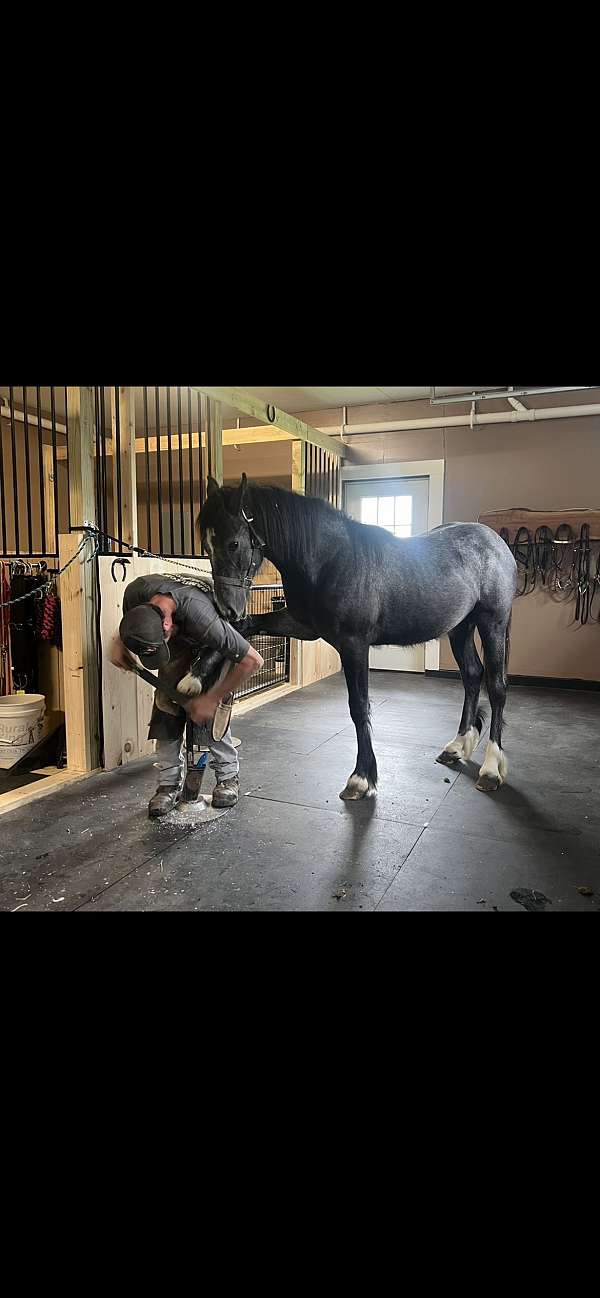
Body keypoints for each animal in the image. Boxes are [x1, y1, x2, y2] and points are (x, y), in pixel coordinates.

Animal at [198, 477, 516, 799]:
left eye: (233, 543)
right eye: (206, 544)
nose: (227, 608)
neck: (329, 559)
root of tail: (495, 542)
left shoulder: (354, 645)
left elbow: (359, 706)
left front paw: (361, 778)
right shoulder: (302, 626)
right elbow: (246, 627)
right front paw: (195, 676)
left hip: (492, 621)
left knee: (496, 686)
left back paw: (491, 769)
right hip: (460, 627)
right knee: (472, 675)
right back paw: (457, 746)